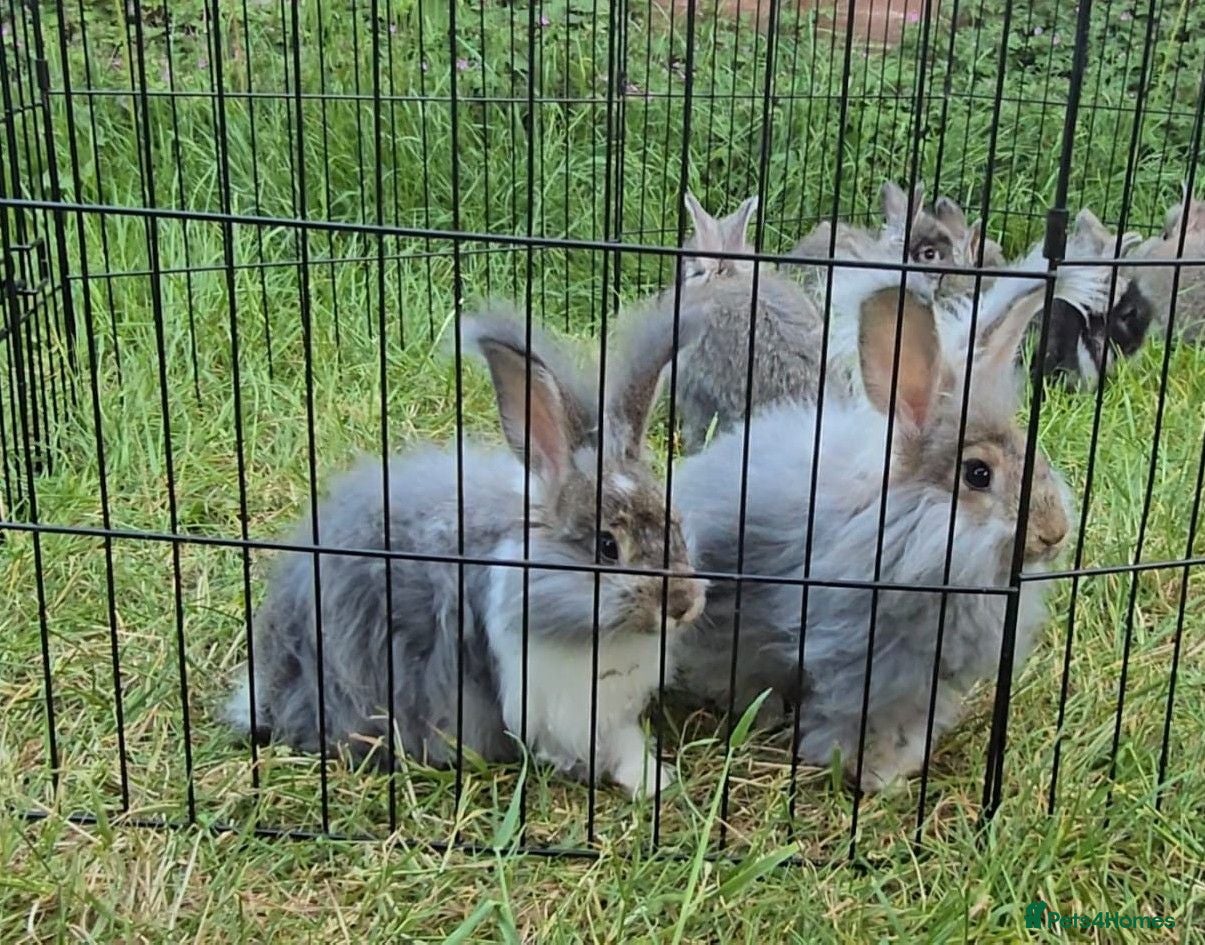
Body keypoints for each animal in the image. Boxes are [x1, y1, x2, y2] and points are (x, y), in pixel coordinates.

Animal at [223, 304, 708, 797]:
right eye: (608, 546)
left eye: (676, 524)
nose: (684, 605)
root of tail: (270, 686)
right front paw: (647, 781)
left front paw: (655, 778)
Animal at [671, 276, 1072, 792]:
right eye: (978, 474)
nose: (1055, 533)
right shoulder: (865, 665)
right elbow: (859, 721)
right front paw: (871, 776)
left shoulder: (926, 681)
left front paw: (896, 773)